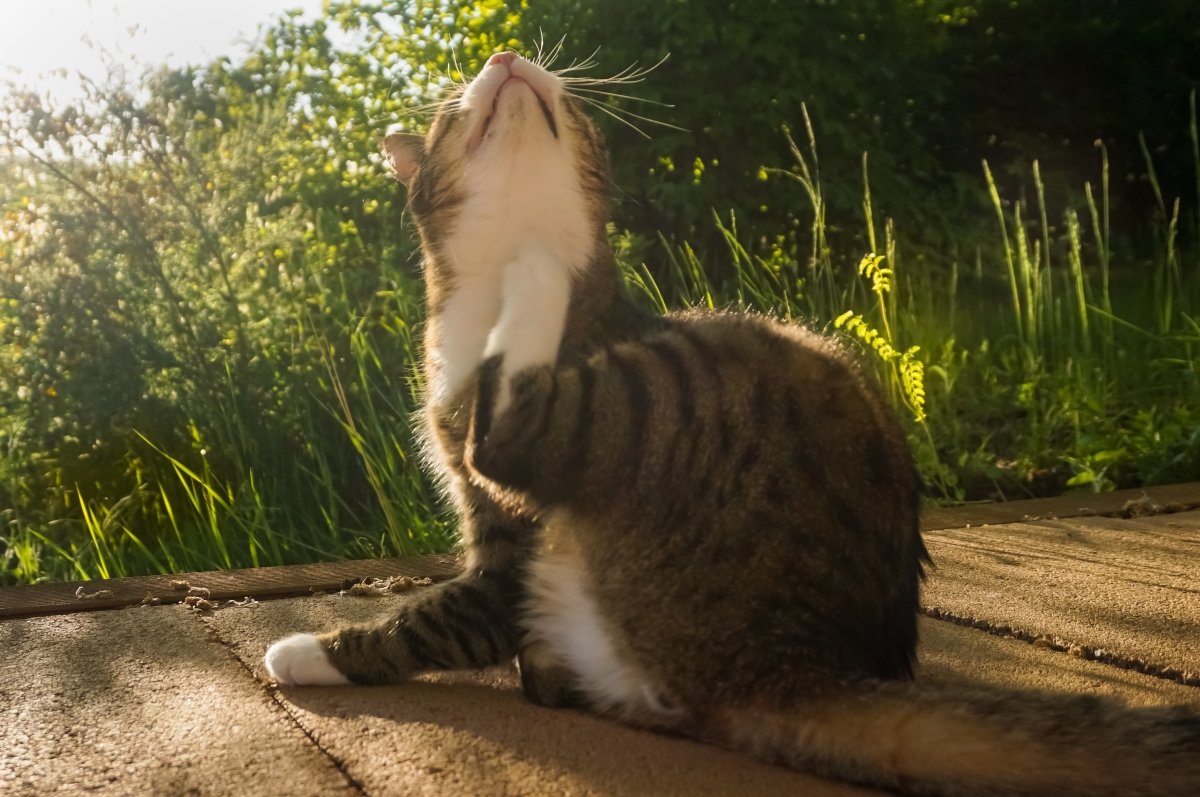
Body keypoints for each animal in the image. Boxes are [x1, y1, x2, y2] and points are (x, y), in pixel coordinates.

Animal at [265, 51, 1200, 797]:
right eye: (455, 108)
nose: (503, 53)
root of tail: (799, 664)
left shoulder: (510, 545)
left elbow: (434, 616)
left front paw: (310, 651)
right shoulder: (494, 534)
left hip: (652, 409)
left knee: (520, 430)